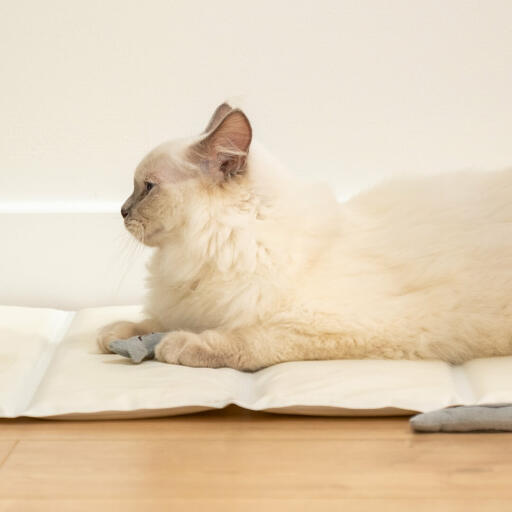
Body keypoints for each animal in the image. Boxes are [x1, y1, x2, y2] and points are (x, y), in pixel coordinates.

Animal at [98, 102, 512, 370]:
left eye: (147, 188)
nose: (121, 211)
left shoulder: (327, 327)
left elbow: (249, 339)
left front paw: (181, 346)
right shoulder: (193, 306)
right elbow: (153, 321)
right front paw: (117, 333)